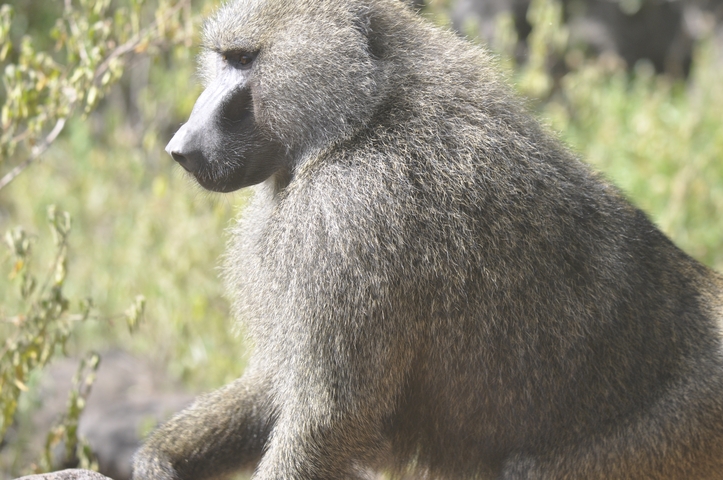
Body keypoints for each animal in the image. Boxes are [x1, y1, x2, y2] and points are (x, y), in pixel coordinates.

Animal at [132, 0, 723, 478]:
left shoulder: (352, 216)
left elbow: (330, 418)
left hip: (671, 431)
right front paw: (163, 456)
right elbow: (277, 385)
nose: (179, 148)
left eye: (242, 59)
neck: (360, 121)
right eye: (224, 58)